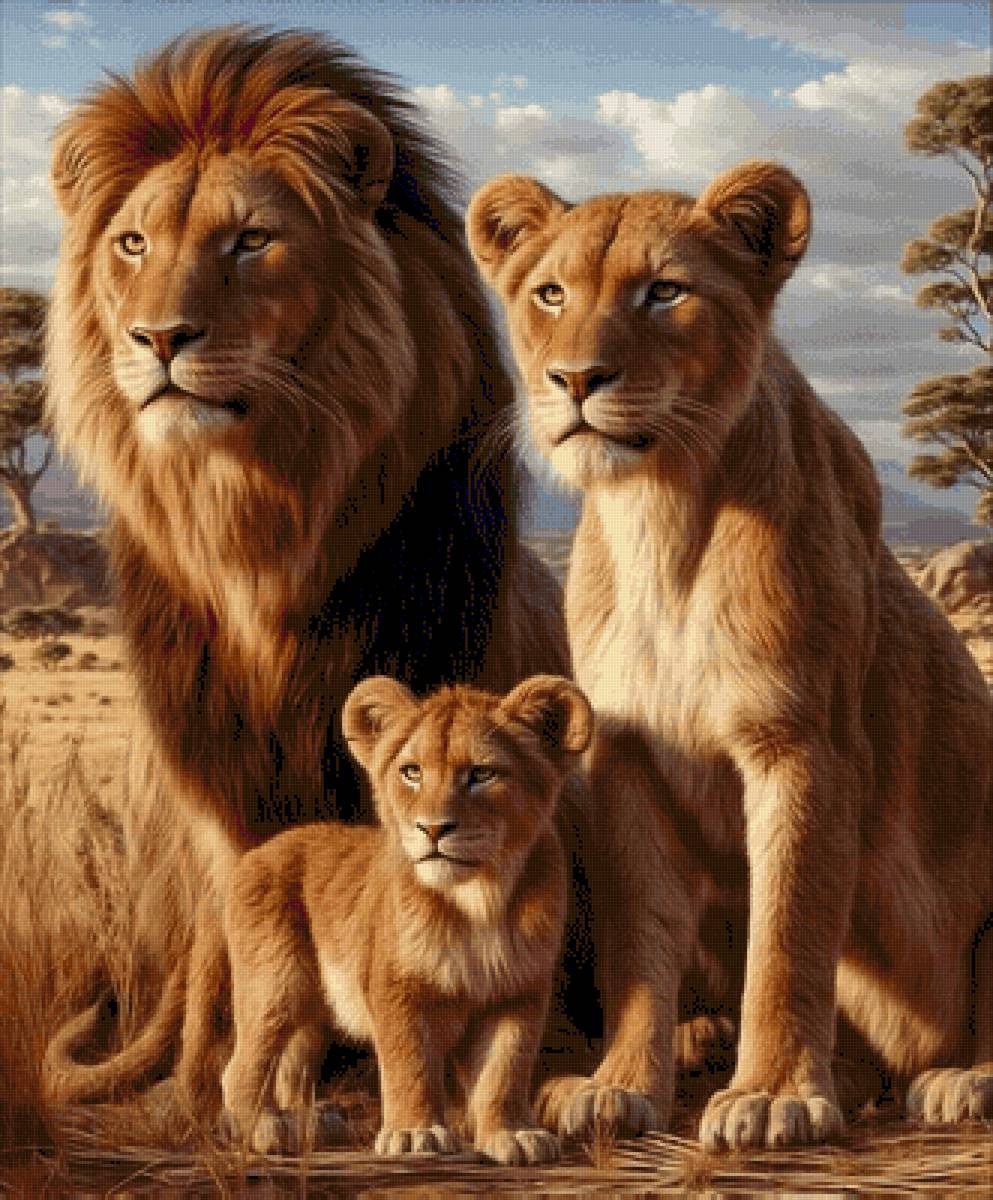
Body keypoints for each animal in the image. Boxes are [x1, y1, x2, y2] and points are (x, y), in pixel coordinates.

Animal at [41, 27, 573, 1112]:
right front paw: (205, 1096)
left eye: (251, 240)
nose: (158, 337)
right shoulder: (214, 779)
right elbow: (240, 948)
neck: (257, 534)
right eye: (133, 245)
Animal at [220, 673, 592, 1164]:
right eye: (412, 772)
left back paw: (309, 1123)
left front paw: (512, 1134)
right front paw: (415, 1135)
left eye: (482, 774)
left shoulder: (517, 992)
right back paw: (263, 1129)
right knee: (243, 1064)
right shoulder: (398, 987)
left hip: (314, 1010)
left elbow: (505, 1069)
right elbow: (409, 1062)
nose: (433, 829)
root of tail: (257, 851)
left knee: (293, 1065)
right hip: (276, 981)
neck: (478, 901)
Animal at [466, 162, 993, 1150]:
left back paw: (961, 1079)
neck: (661, 517)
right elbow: (640, 937)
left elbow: (787, 934)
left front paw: (775, 1095)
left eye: (663, 292)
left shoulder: (803, 746)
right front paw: (618, 1086)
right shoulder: (627, 760)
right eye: (549, 294)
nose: (575, 378)